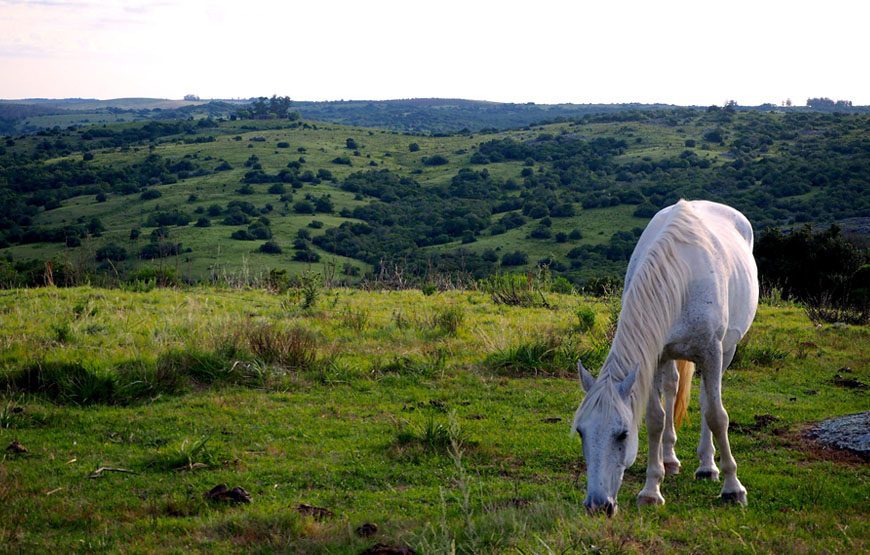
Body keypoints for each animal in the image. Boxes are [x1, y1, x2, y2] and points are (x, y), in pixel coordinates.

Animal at [572, 200, 756, 516]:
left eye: (622, 434)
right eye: (582, 432)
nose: (597, 505)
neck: (682, 275)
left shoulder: (712, 351)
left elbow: (717, 415)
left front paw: (733, 488)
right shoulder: (654, 355)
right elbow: (655, 419)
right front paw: (651, 490)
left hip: (726, 351)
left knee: (707, 401)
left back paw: (708, 466)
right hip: (671, 356)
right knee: (671, 388)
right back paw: (669, 459)